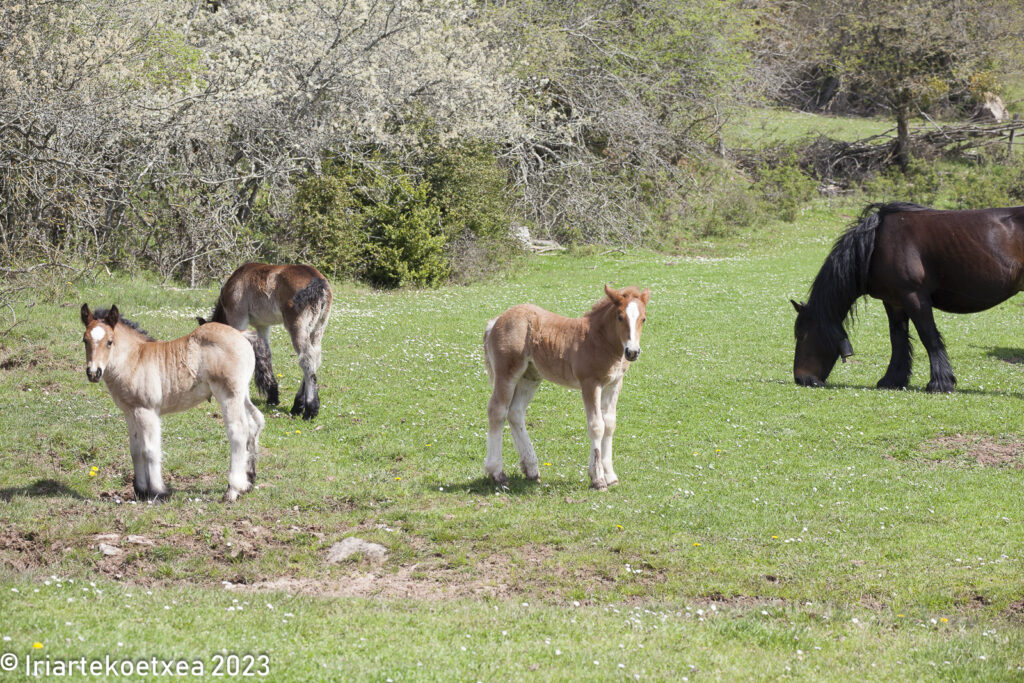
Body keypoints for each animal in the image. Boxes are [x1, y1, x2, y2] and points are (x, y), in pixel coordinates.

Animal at [81, 305, 264, 501]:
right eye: (85, 340)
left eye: (109, 342)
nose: (93, 373)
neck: (134, 359)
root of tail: (242, 334)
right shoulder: (129, 411)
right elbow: (135, 449)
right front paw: (140, 490)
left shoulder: (147, 410)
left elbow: (151, 449)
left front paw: (158, 492)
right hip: (242, 394)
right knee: (255, 422)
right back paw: (248, 482)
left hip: (229, 395)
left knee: (238, 432)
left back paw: (232, 490)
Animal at [203, 264, 335, 419]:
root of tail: (318, 282)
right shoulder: (262, 326)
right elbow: (265, 354)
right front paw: (272, 395)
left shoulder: (237, 319)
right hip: (318, 328)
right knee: (315, 359)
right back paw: (298, 404)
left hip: (297, 327)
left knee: (306, 359)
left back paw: (310, 408)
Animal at [485, 284, 647, 491]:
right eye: (620, 316)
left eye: (643, 318)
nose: (632, 352)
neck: (599, 340)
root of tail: (496, 320)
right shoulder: (590, 383)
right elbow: (596, 426)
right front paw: (598, 478)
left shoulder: (614, 383)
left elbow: (609, 424)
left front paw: (610, 475)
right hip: (507, 373)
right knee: (497, 410)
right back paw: (497, 473)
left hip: (530, 376)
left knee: (515, 412)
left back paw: (532, 470)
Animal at [794, 202, 1024, 393]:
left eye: (801, 335)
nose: (800, 378)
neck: (876, 244)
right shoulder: (894, 301)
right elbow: (898, 339)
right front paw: (893, 380)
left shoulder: (914, 297)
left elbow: (928, 337)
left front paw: (940, 383)